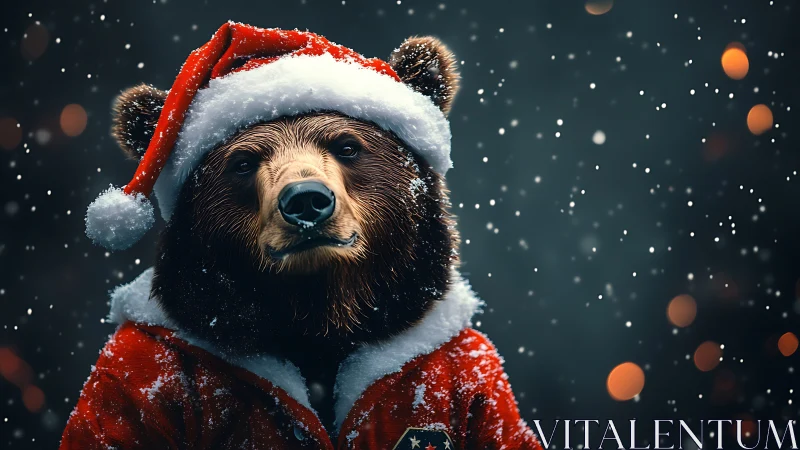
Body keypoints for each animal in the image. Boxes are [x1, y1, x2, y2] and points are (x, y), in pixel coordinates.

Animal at [63, 22, 541, 450]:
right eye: (242, 163)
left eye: (347, 146)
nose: (306, 201)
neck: (317, 317)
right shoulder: (135, 378)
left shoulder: (475, 375)